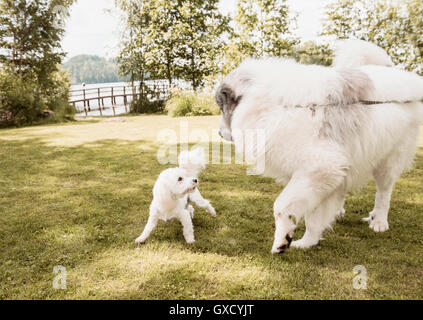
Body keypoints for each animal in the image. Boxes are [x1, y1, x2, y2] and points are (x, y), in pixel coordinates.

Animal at [217, 40, 423, 254]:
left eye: (221, 107)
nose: (219, 134)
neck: (273, 105)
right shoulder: (316, 176)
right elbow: (313, 217)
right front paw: (308, 241)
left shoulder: (319, 168)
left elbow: (282, 206)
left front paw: (283, 240)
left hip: (389, 160)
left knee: (384, 192)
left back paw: (379, 221)